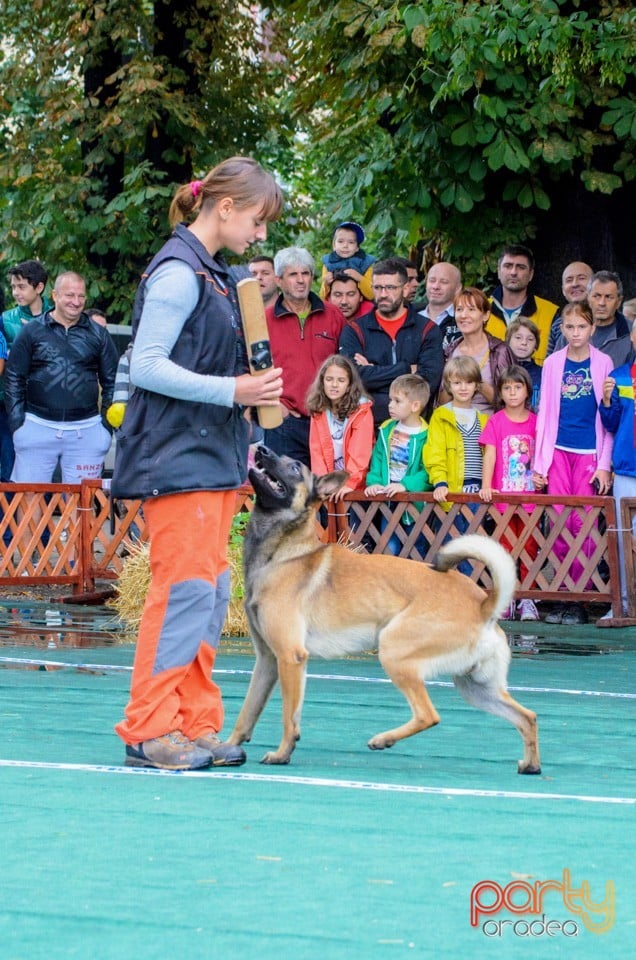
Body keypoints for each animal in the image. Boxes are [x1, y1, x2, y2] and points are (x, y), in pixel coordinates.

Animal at [230, 446, 540, 776]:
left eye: (294, 467)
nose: (261, 449)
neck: (283, 554)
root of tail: (484, 604)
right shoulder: (267, 660)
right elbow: (246, 713)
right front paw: (228, 747)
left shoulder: (290, 658)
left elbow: (289, 717)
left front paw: (282, 753)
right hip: (476, 686)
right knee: (527, 716)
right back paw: (531, 765)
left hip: (394, 651)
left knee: (428, 715)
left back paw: (383, 739)